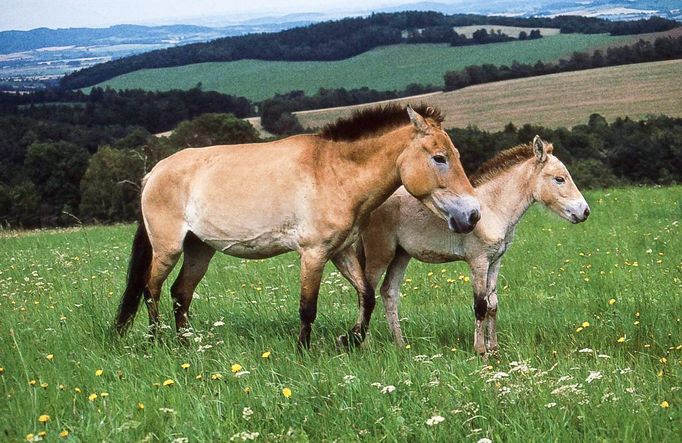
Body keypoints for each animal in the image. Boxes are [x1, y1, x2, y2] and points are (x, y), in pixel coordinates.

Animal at [115, 105, 478, 350]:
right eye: (439, 158)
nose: (472, 215)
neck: (333, 173)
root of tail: (154, 173)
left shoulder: (340, 251)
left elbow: (367, 295)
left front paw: (351, 339)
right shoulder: (313, 254)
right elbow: (308, 308)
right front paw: (304, 351)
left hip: (199, 249)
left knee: (181, 293)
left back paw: (186, 344)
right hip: (168, 248)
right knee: (151, 289)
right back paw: (158, 340)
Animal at [358, 135, 588, 354]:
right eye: (559, 179)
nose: (585, 211)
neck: (493, 208)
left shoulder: (495, 261)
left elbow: (493, 305)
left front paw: (494, 349)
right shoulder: (479, 261)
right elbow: (480, 305)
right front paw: (480, 351)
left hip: (401, 254)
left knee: (389, 292)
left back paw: (400, 344)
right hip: (380, 254)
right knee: (365, 292)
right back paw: (365, 345)